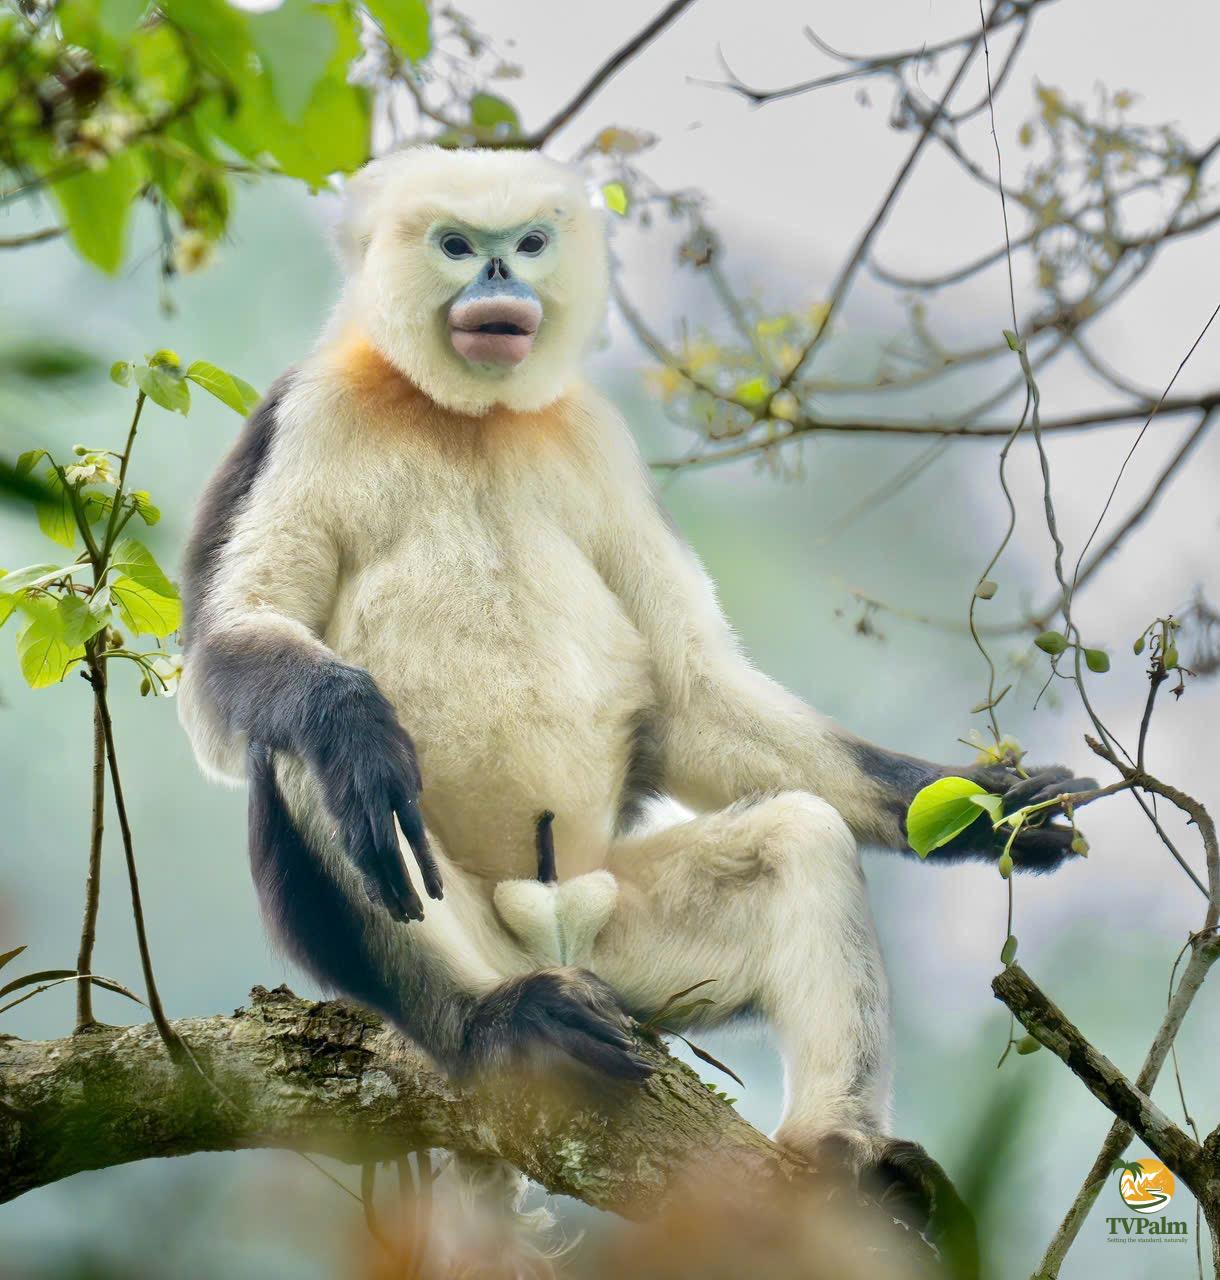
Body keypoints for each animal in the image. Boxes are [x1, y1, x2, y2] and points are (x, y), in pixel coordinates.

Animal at [179, 146, 1092, 1200]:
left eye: (529, 243)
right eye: (458, 245)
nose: (500, 275)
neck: (466, 418)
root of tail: (548, 931)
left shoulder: (596, 442)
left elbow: (694, 697)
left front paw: (994, 808)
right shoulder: (305, 412)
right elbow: (232, 664)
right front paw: (351, 724)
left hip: (622, 942)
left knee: (800, 835)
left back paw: (840, 1155)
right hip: (477, 930)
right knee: (313, 768)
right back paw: (496, 1025)